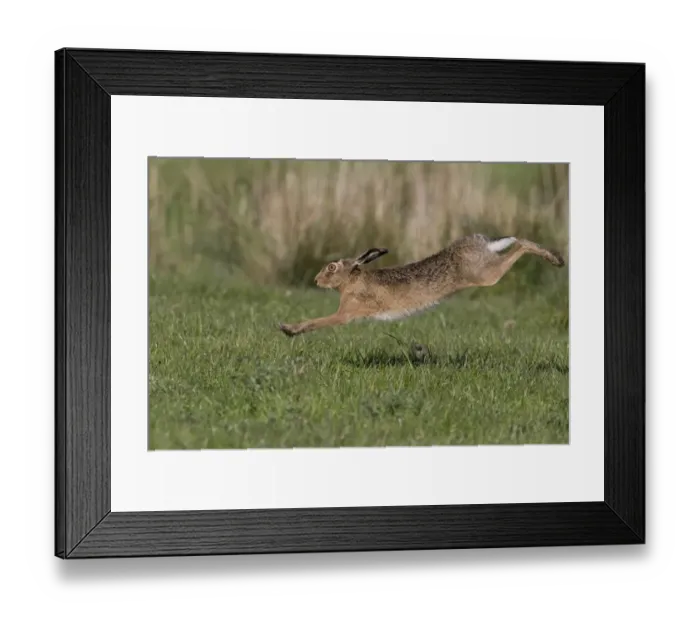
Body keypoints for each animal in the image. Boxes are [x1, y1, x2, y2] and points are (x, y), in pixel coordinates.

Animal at [278, 233, 565, 337]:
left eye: (331, 268)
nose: (316, 280)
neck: (353, 280)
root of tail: (482, 243)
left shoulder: (345, 313)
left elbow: (318, 321)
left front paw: (289, 329)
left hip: (486, 274)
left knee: (519, 245)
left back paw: (556, 259)